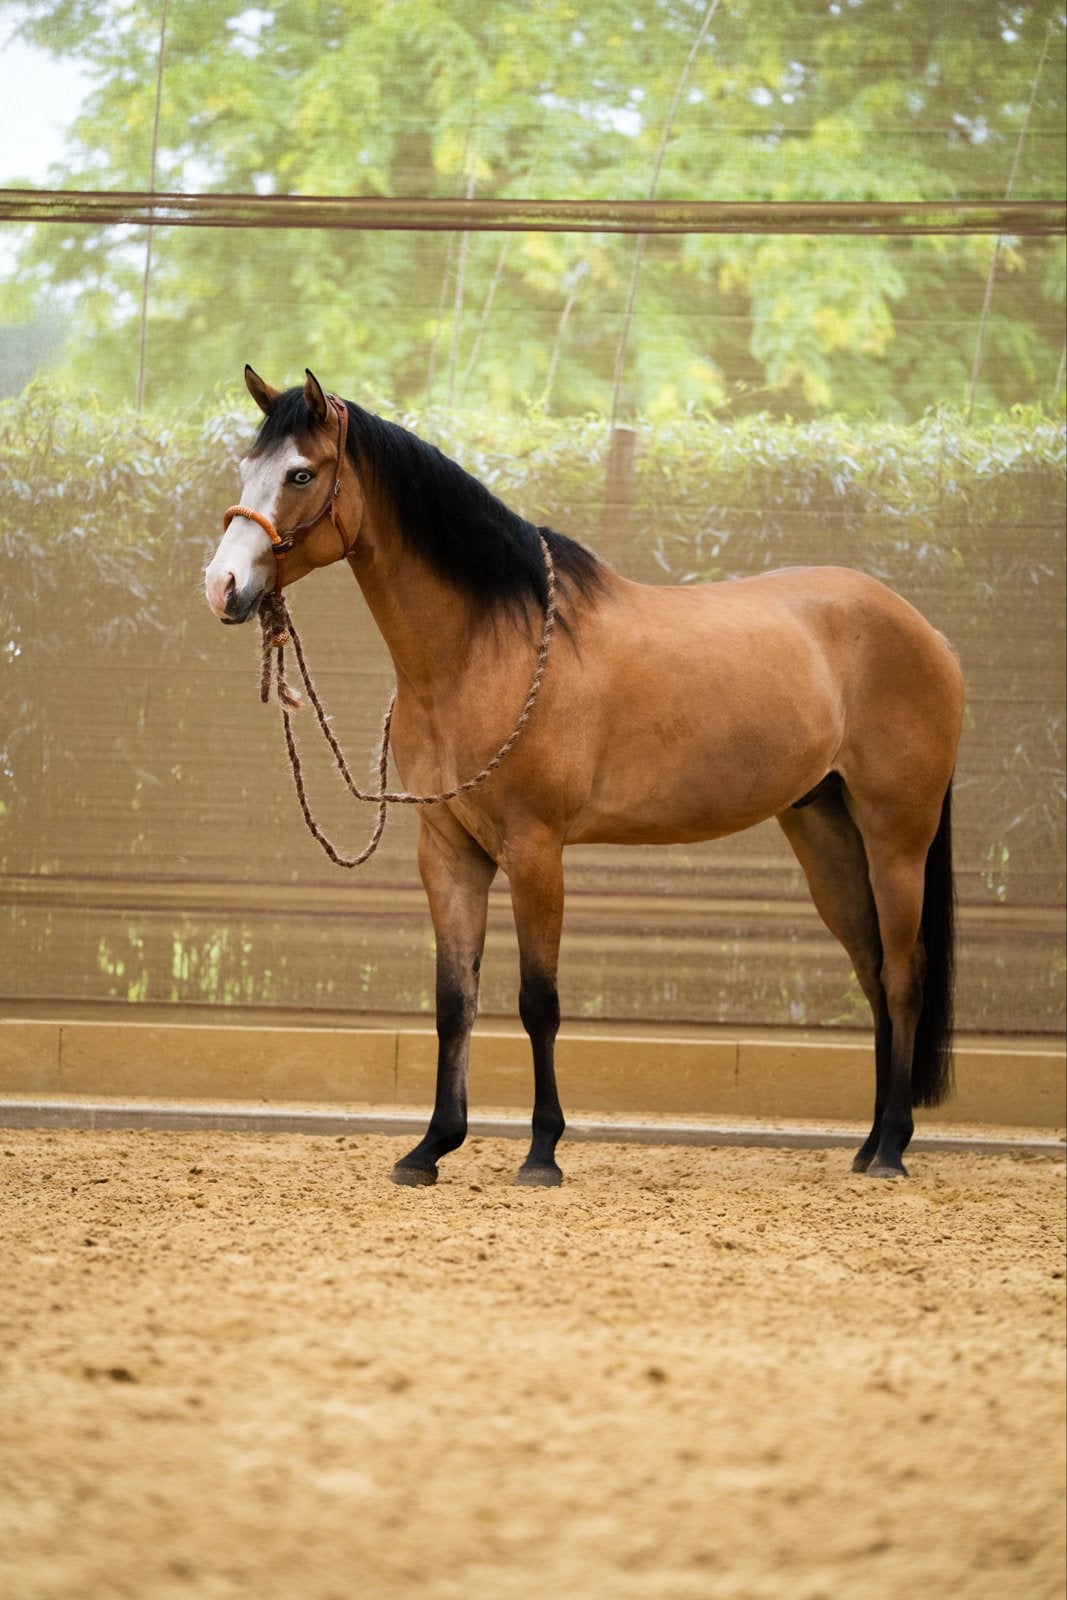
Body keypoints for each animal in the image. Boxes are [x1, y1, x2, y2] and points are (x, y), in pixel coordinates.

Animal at [205, 367, 965, 1187]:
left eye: (300, 474)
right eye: (247, 468)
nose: (222, 585)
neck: (485, 647)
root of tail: (926, 632)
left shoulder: (536, 850)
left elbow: (538, 1001)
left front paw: (541, 1152)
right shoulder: (448, 850)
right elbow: (454, 1000)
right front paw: (432, 1147)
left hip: (896, 838)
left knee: (903, 976)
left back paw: (891, 1150)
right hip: (826, 833)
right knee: (873, 973)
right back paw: (868, 1144)